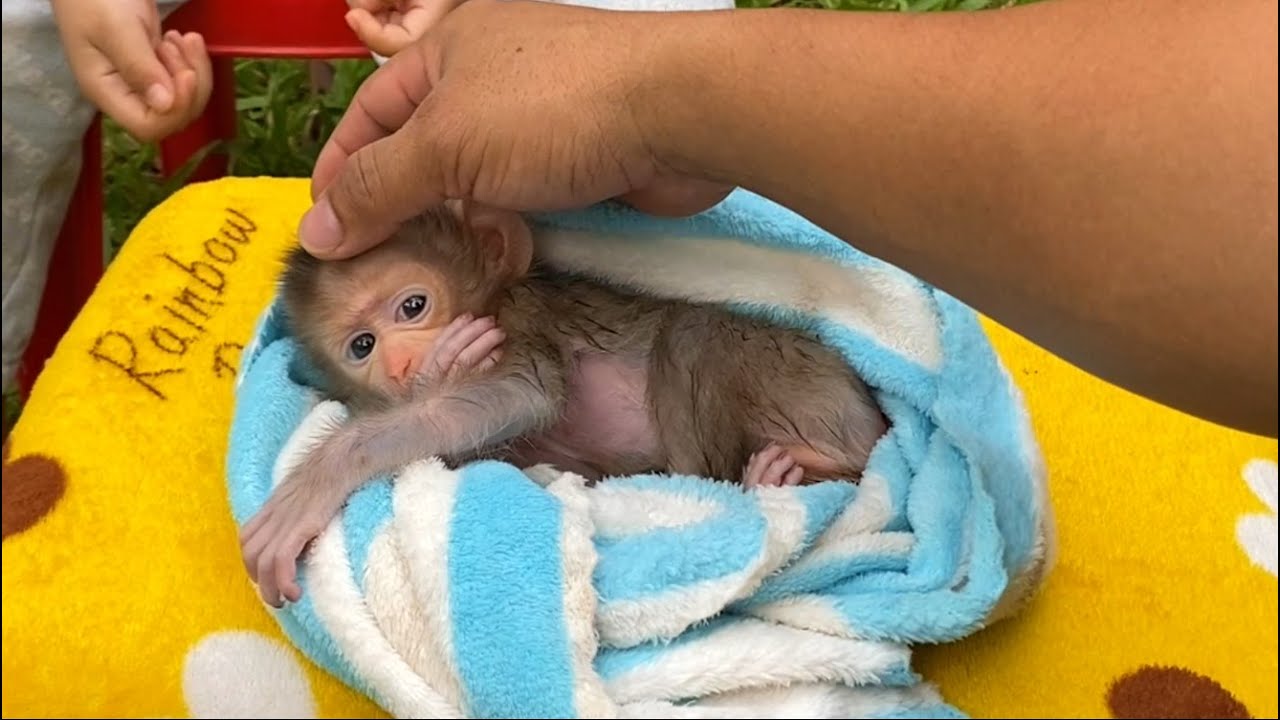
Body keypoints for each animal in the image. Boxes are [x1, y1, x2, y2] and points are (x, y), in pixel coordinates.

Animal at [240, 202, 889, 608]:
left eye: (413, 306)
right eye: (362, 346)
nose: (401, 365)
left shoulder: (517, 321)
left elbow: (523, 393)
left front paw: (313, 484)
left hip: (801, 378)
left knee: (693, 335)